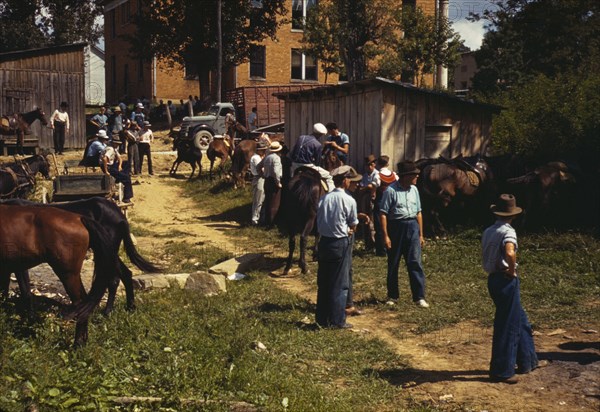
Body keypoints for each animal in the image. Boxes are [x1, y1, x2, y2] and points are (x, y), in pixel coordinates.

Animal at [1, 198, 161, 314]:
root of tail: (119, 213)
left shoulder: (19, 265)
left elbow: (24, 291)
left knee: (113, 279)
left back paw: (108, 311)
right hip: (109, 253)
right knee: (125, 274)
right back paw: (129, 308)